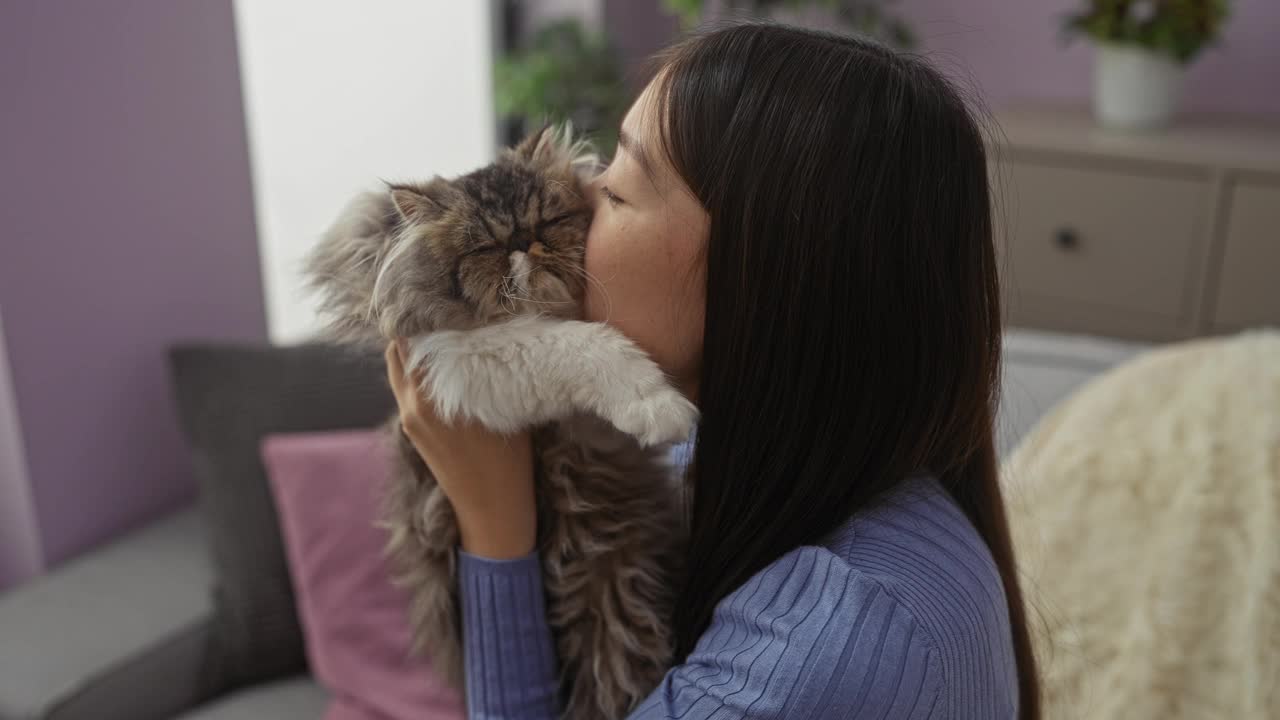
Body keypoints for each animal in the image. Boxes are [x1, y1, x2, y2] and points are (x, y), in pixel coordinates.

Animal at [303, 126, 696, 712]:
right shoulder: (465, 365)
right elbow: (586, 346)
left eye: (548, 221)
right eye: (486, 246)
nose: (524, 243)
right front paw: (662, 405)